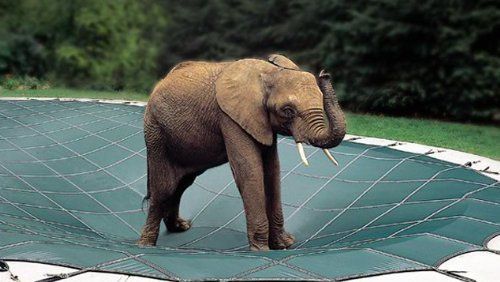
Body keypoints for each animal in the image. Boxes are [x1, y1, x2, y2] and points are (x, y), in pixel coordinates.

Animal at [139, 54, 346, 250]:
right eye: (288, 110)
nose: (325, 74)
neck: (269, 72)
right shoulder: (230, 118)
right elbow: (250, 171)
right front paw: (262, 250)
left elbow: (272, 172)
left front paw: (284, 245)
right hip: (156, 132)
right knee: (164, 188)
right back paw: (146, 244)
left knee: (181, 183)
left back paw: (180, 227)